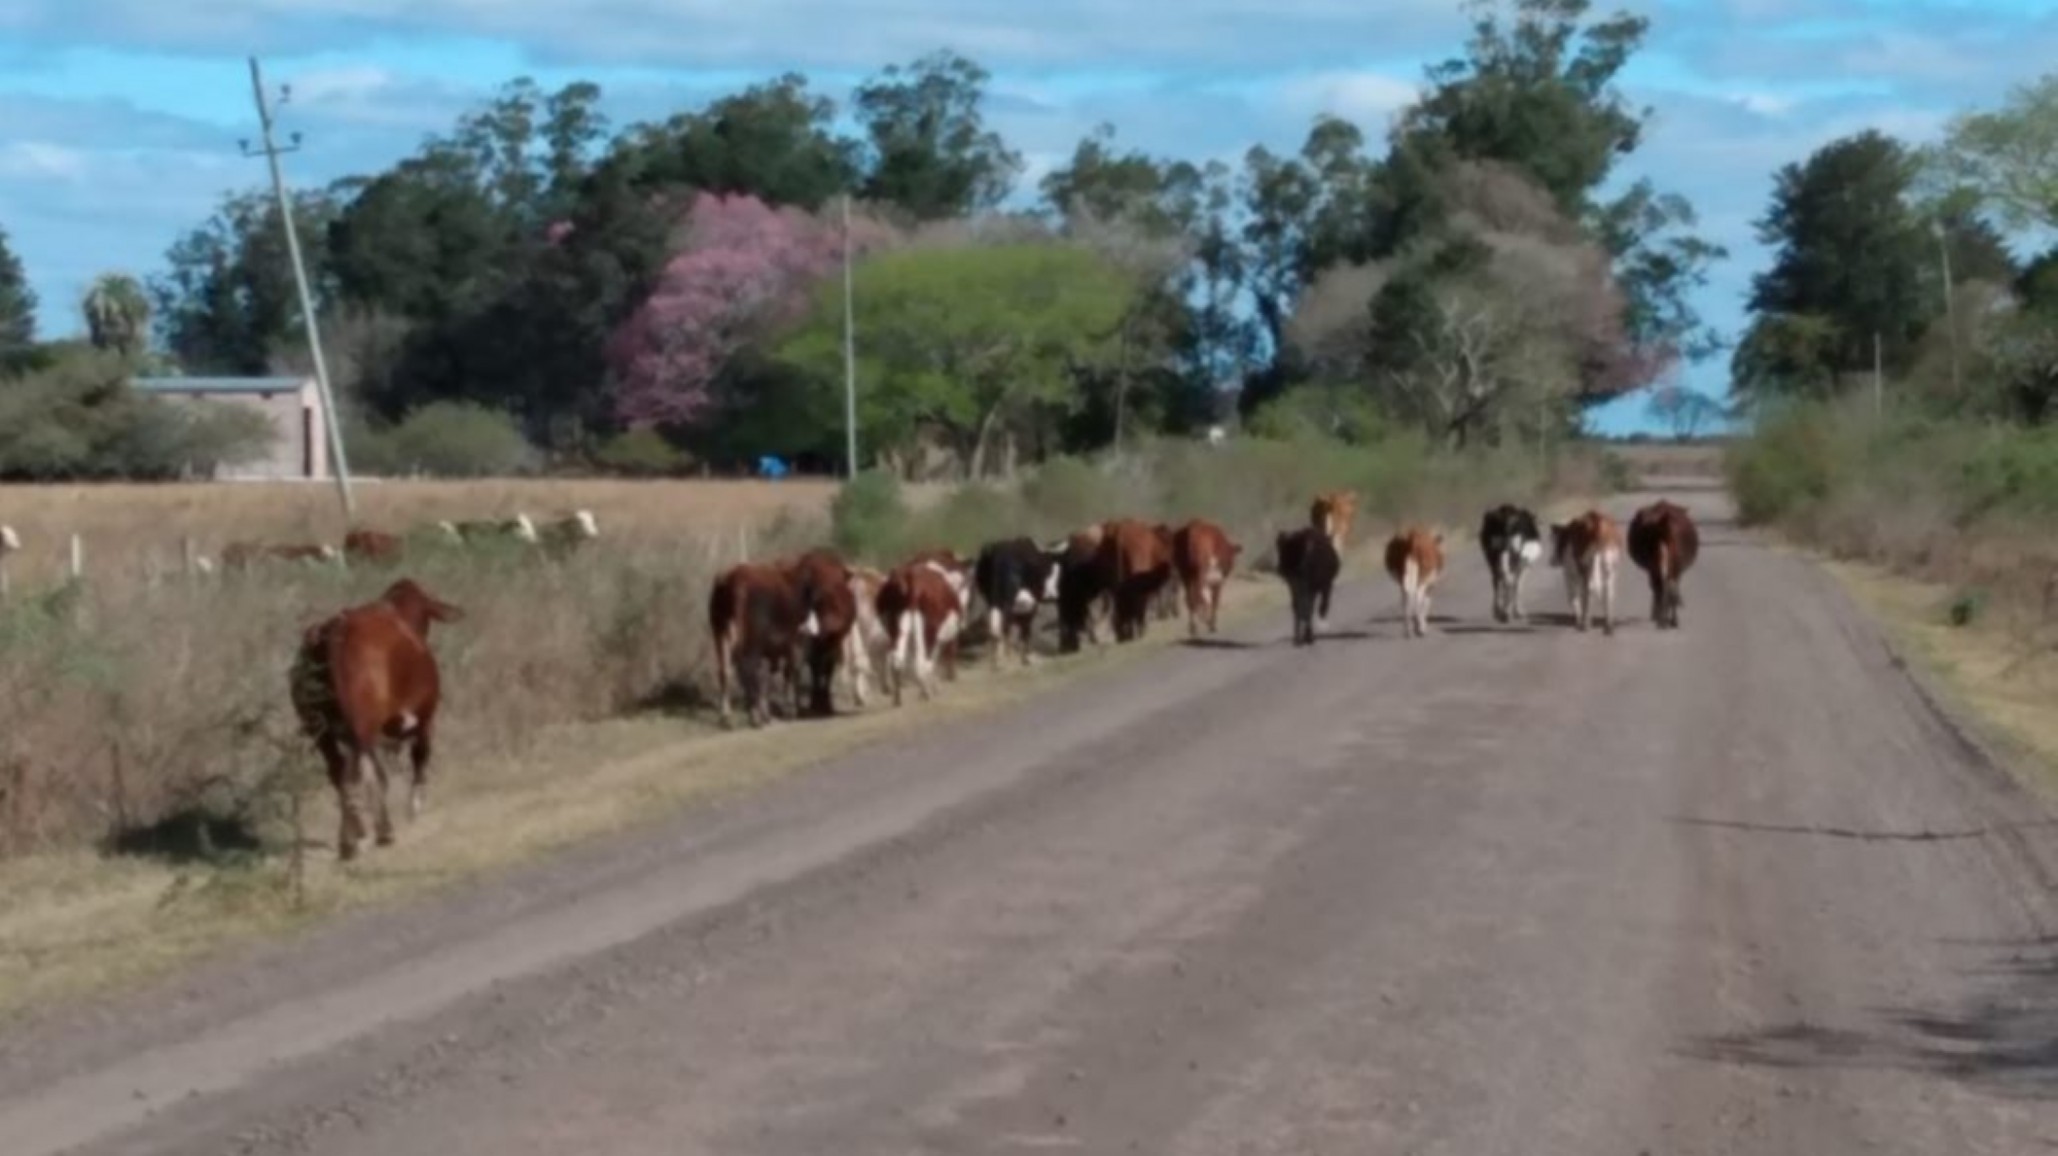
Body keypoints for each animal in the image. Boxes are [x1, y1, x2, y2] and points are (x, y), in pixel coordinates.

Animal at [289, 579, 463, 861]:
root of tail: (335, 629)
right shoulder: (425, 716)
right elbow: (419, 755)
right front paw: (414, 805)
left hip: (320, 730)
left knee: (340, 773)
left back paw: (350, 840)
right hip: (363, 728)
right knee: (363, 773)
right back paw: (376, 833)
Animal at [708, 562, 808, 727]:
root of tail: (732, 578)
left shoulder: (769, 650)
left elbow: (766, 678)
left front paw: (767, 713)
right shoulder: (794, 643)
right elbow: (789, 673)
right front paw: (790, 710)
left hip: (720, 631)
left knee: (725, 671)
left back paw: (727, 717)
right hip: (752, 640)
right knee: (747, 669)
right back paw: (754, 717)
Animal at [875, 561, 965, 705]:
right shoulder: (939, 639)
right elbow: (932, 661)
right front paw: (932, 688)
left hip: (894, 628)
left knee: (896, 660)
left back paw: (897, 699)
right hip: (928, 631)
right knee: (922, 663)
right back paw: (926, 694)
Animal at [973, 537, 1065, 668]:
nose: (1054, 595)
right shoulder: (1030, 605)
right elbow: (1025, 629)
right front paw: (1025, 658)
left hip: (992, 599)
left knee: (995, 626)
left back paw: (997, 661)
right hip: (1007, 599)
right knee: (1004, 624)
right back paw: (1005, 659)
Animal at [1627, 500, 1701, 630]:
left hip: (1660, 566)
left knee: (1664, 587)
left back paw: (1665, 618)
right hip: (1669, 566)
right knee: (1669, 587)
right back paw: (1669, 619)